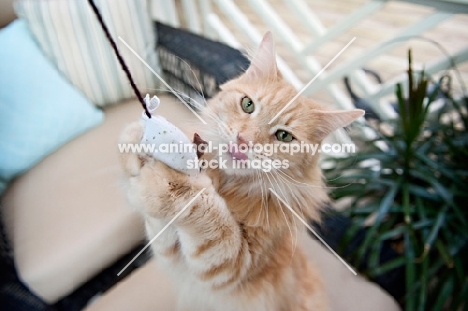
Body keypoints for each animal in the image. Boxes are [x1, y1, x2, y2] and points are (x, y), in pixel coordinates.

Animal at [119, 32, 364, 311]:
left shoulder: (232, 268)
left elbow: (205, 213)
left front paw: (168, 184)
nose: (243, 140)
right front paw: (138, 140)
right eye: (248, 105)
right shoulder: (171, 254)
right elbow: (160, 225)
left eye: (284, 136)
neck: (227, 184)